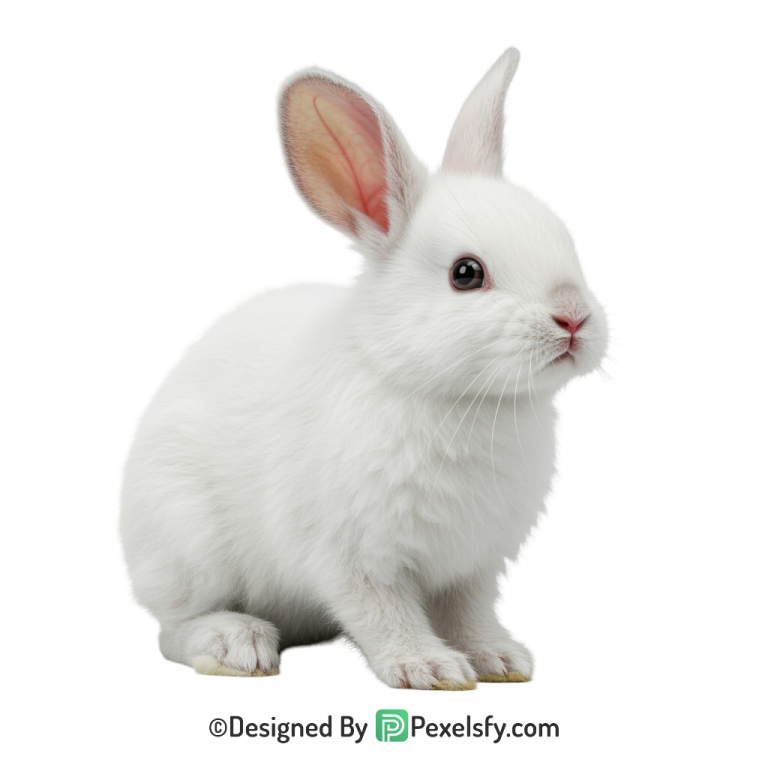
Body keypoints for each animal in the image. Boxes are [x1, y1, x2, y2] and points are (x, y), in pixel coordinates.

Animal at [115, 42, 616, 690]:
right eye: (466, 274)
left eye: (566, 240)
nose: (574, 318)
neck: (463, 400)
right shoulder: (354, 555)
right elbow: (383, 612)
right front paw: (427, 667)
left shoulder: (479, 565)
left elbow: (472, 615)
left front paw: (502, 660)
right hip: (186, 542)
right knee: (174, 626)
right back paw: (236, 646)